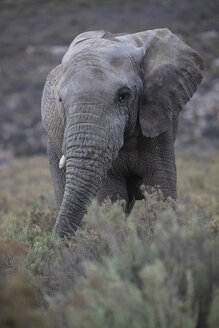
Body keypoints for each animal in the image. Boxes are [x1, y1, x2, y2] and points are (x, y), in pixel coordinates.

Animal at [41, 28, 204, 238]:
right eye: (60, 100)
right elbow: (113, 198)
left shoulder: (157, 114)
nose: (52, 242)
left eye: (123, 96)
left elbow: (160, 188)